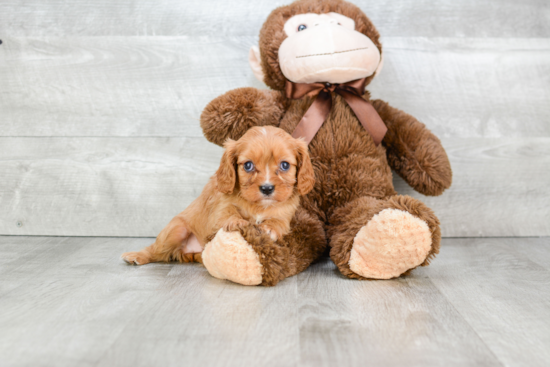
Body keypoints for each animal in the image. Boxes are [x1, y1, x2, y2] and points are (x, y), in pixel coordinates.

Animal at [123, 125, 316, 266]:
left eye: (285, 165)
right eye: (248, 165)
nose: (267, 188)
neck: (258, 205)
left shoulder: (284, 214)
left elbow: (278, 222)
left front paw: (269, 228)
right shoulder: (220, 207)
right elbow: (228, 213)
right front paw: (237, 222)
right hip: (176, 230)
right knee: (156, 251)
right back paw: (136, 256)